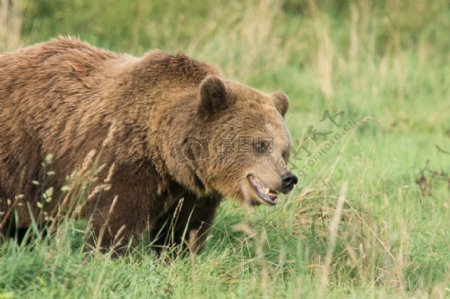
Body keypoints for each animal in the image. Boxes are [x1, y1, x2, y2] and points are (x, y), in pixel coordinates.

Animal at [0, 37, 298, 253]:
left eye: (284, 149)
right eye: (260, 144)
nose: (288, 178)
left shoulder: (192, 191)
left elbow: (183, 229)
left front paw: (178, 255)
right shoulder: (123, 162)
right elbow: (116, 221)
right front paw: (108, 254)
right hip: (21, 154)